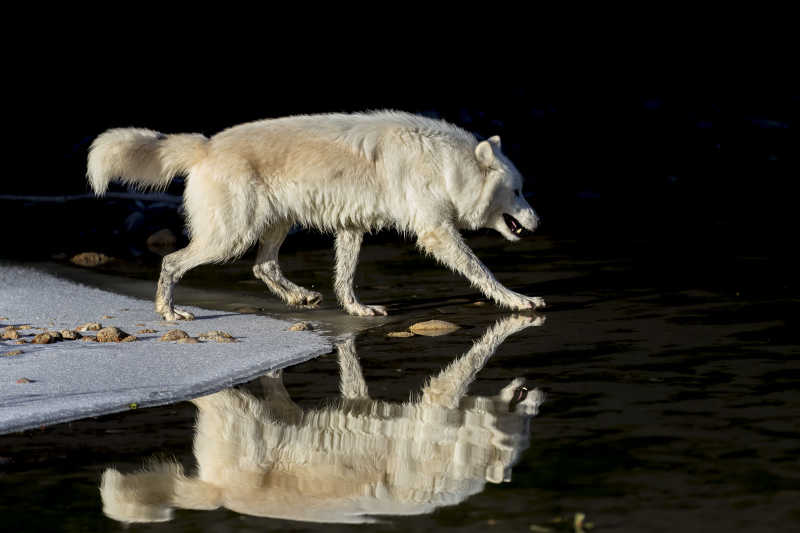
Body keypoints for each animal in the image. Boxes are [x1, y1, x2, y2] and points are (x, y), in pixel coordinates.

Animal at [87, 108, 548, 316]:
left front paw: (357, 311)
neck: (446, 165)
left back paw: (300, 297)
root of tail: (206, 145)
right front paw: (519, 300)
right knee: (171, 261)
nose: (538, 221)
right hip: (230, 237)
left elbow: (345, 279)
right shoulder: (437, 232)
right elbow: (483, 272)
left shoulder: (352, 228)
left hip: (276, 225)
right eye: (519, 191)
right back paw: (169, 312)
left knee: (263, 267)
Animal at [98, 314, 544, 520]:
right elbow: (465, 369)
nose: (540, 396)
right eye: (522, 419)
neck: (459, 455)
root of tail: (218, 491)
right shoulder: (436, 412)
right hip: (240, 416)